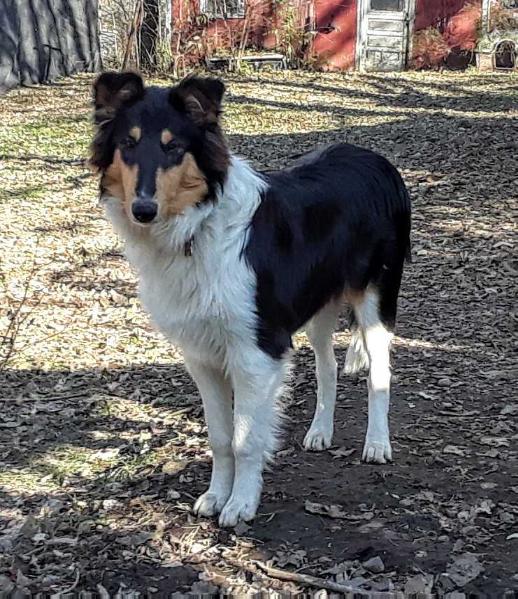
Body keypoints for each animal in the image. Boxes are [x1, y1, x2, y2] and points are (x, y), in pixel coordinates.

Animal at [91, 72, 412, 528]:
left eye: (174, 147)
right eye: (128, 143)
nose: (143, 209)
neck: (197, 228)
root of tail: (376, 160)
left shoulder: (255, 351)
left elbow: (244, 439)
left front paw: (241, 503)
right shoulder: (202, 357)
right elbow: (219, 436)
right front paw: (215, 495)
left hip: (375, 301)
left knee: (379, 373)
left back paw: (377, 444)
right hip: (317, 309)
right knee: (327, 367)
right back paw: (320, 431)